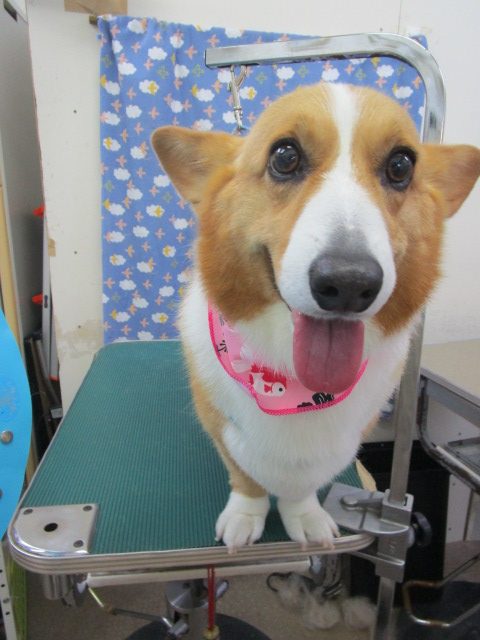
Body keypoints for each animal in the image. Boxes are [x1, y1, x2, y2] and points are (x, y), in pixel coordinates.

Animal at [152, 83, 480, 551]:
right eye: (285, 156)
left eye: (401, 165)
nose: (348, 283)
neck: (292, 382)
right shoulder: (222, 427)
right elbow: (246, 477)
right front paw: (245, 517)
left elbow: (301, 489)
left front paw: (303, 517)